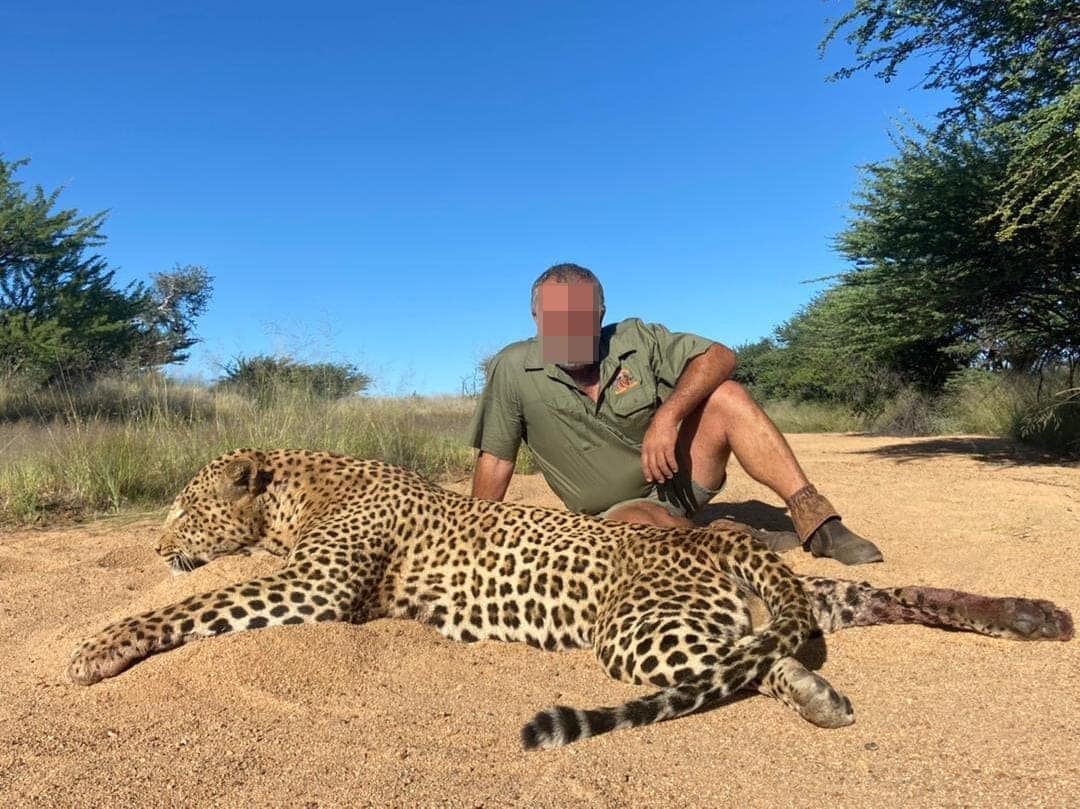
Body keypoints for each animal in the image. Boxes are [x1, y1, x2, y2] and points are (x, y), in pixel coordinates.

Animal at [69, 449, 1074, 749]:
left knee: (747, 665)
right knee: (868, 603)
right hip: (800, 599)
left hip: (639, 630)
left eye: (184, 505)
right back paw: (1032, 614)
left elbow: (192, 606)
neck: (299, 487)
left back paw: (819, 695)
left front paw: (95, 646)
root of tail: (722, 540)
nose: (154, 545)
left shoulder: (312, 585)